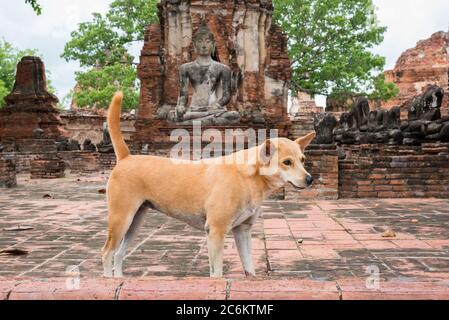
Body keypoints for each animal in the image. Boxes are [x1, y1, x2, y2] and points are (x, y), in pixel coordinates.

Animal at [102, 92, 316, 278]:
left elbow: (249, 268)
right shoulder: (216, 231)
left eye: (303, 160)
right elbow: (217, 273)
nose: (309, 179)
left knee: (119, 254)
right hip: (121, 219)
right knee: (107, 253)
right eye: (287, 162)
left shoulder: (243, 231)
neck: (247, 178)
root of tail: (127, 157)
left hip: (135, 221)